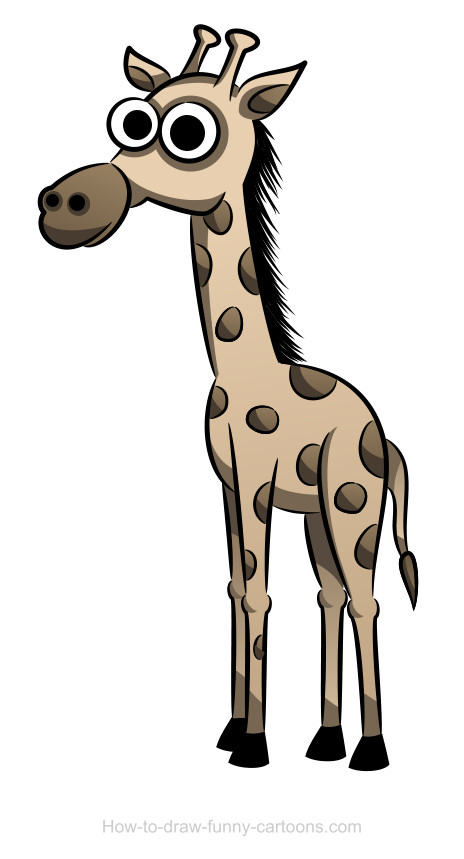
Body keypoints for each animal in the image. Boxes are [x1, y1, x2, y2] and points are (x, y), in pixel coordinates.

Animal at [38, 26, 418, 771]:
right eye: (131, 119)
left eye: (190, 131)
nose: (65, 204)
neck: (243, 372)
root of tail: (381, 434)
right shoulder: (227, 484)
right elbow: (237, 587)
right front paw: (232, 728)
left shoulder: (258, 483)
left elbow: (260, 593)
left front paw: (254, 746)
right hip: (318, 512)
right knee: (331, 592)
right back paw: (326, 741)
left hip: (351, 500)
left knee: (365, 598)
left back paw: (370, 749)